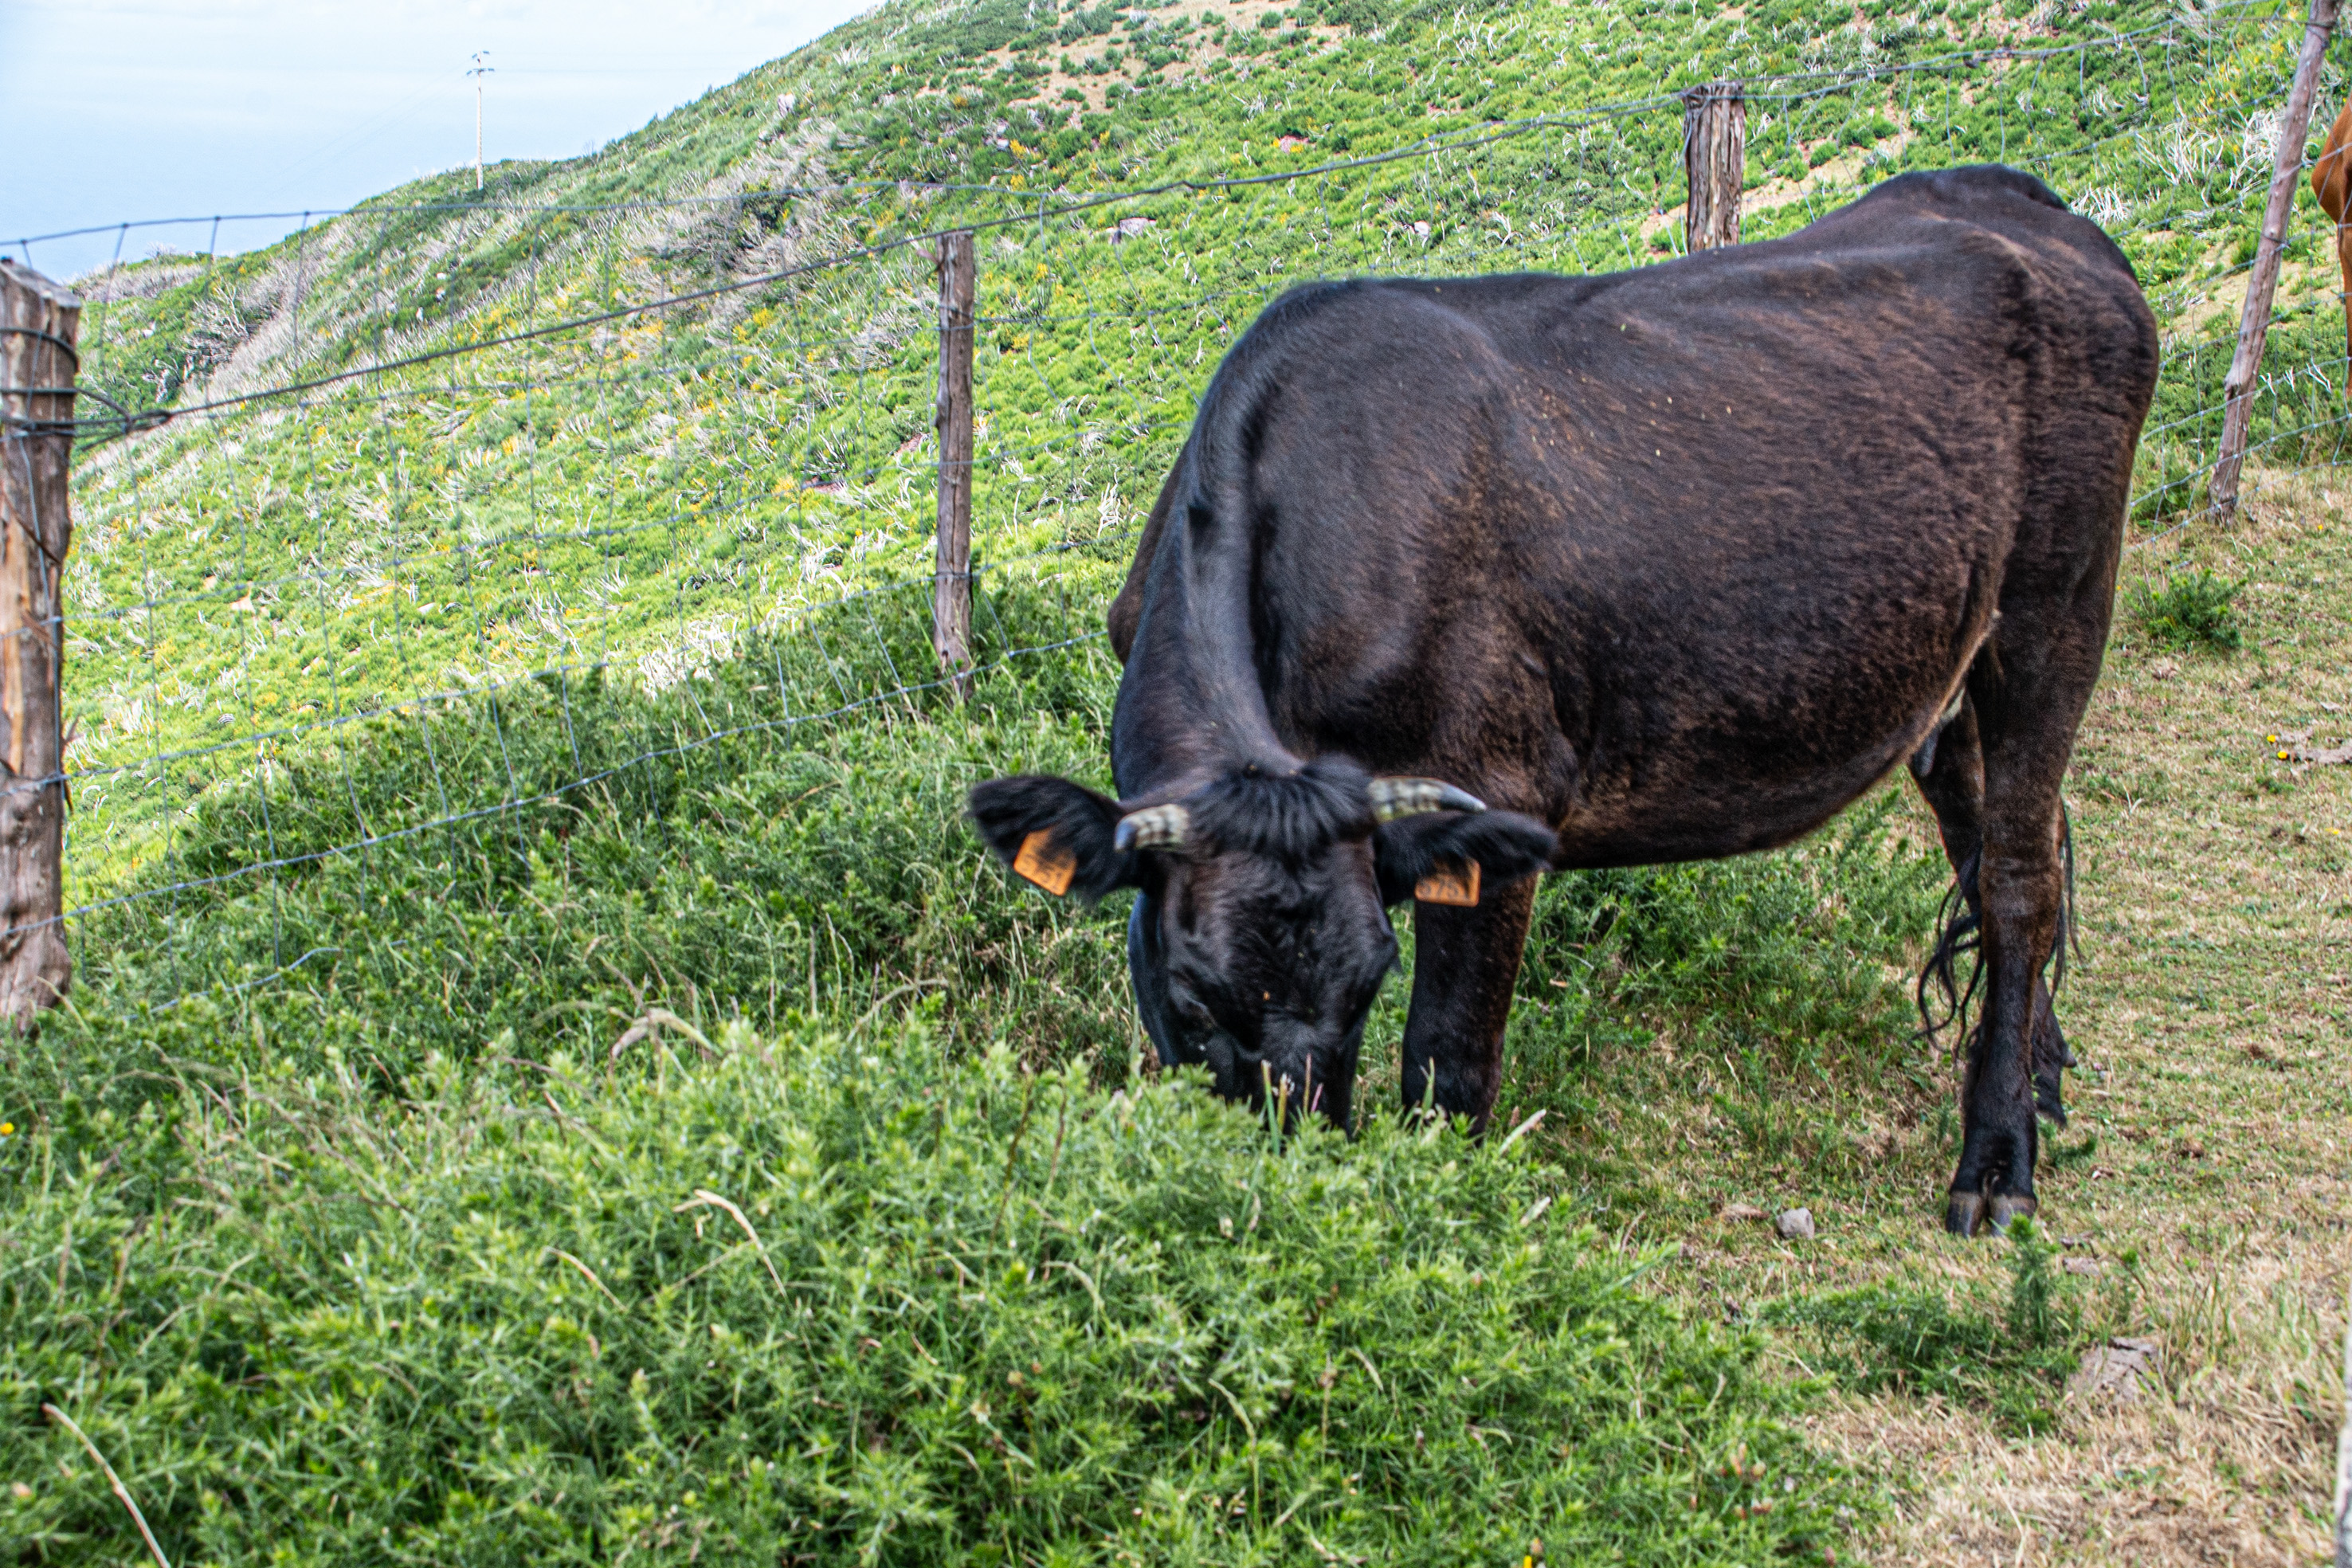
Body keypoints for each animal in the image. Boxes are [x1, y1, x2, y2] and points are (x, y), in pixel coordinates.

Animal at [969, 166, 2159, 1237]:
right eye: (1189, 993)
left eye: (1369, 982)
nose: (1290, 1188)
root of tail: (2022, 200)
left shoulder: (1499, 789)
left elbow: (1447, 1064)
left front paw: (1443, 1223)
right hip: (1950, 661)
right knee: (1986, 841)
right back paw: (2041, 1075)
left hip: (2059, 606)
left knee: (2017, 876)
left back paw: (1998, 1164)